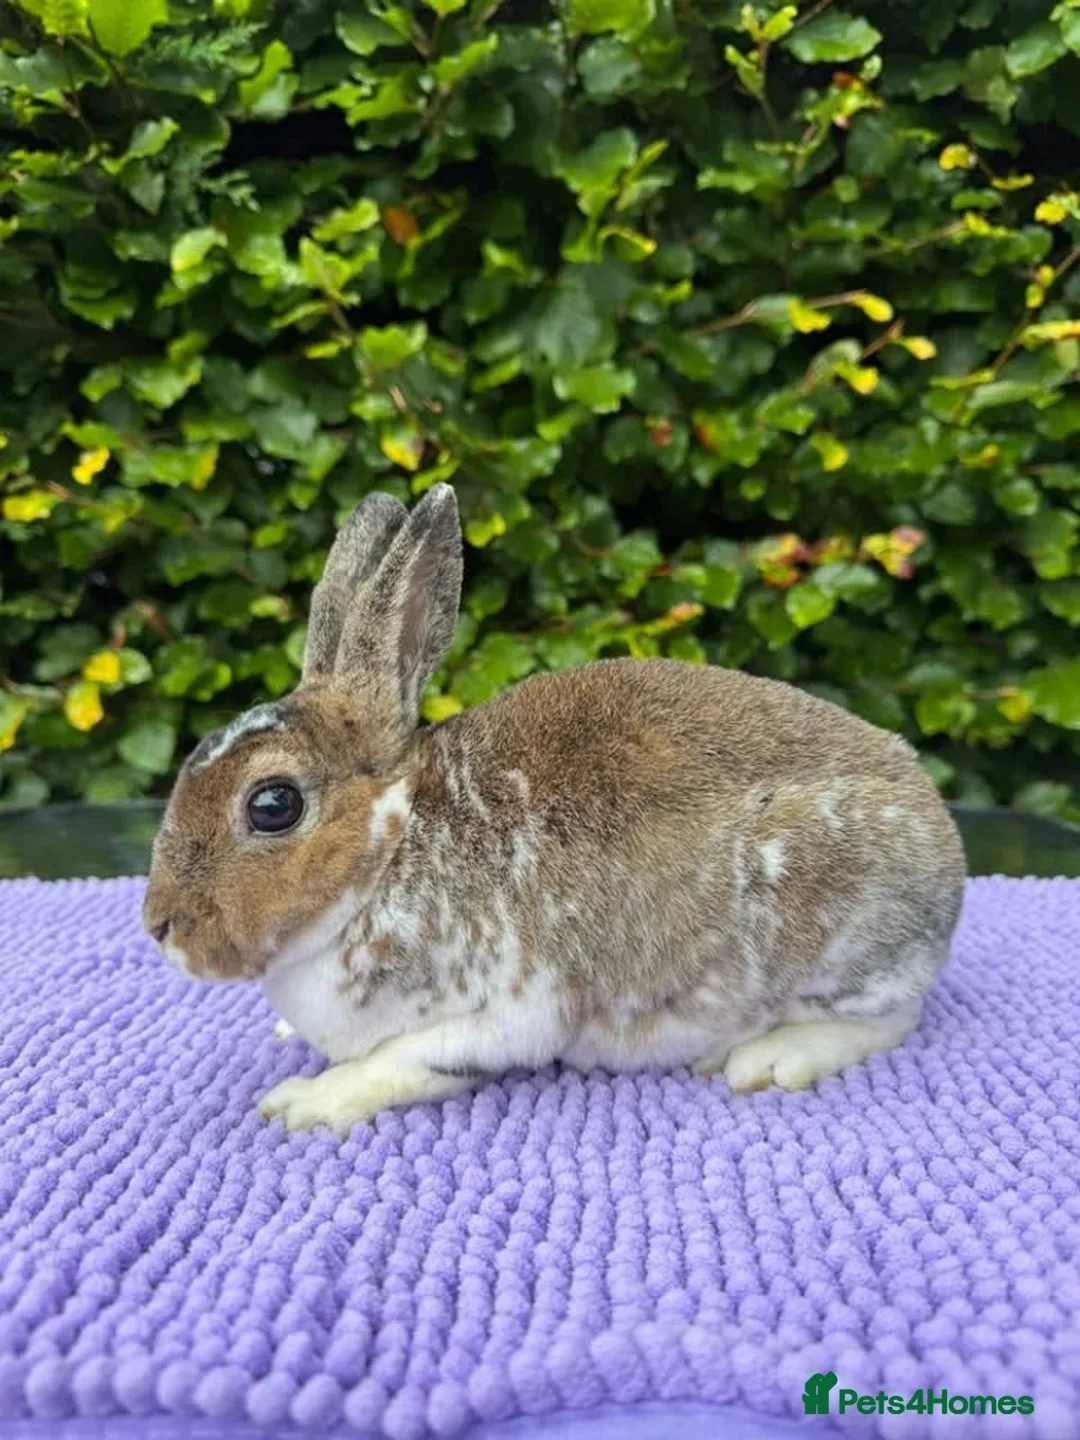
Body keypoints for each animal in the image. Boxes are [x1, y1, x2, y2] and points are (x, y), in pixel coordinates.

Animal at [143, 484, 967, 1135]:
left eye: (272, 804)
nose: (160, 927)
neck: (390, 846)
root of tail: (947, 852)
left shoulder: (503, 1016)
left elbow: (395, 1064)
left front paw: (305, 1101)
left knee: (890, 1018)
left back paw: (770, 1058)